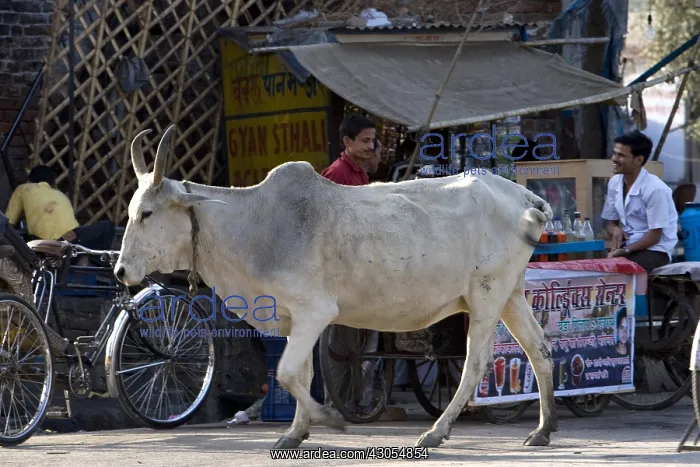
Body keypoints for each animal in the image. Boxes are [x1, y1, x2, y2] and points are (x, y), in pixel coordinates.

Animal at [114, 125, 557, 450]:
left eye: (147, 213)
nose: (120, 271)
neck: (256, 224)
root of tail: (523, 195)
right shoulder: (295, 319)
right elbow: (301, 372)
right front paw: (295, 433)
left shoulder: (315, 311)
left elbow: (287, 372)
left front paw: (328, 419)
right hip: (510, 296)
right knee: (539, 347)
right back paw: (543, 429)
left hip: (486, 296)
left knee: (475, 362)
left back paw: (436, 432)